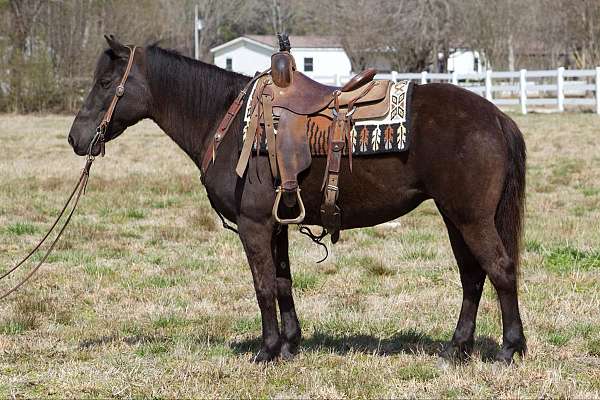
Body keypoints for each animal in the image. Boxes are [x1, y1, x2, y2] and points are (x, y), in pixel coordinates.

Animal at [67, 36, 524, 362]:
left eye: (106, 83)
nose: (76, 138)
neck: (228, 122)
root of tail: (496, 116)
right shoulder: (276, 225)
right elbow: (283, 282)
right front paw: (289, 345)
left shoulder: (253, 225)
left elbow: (263, 284)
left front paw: (267, 349)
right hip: (454, 217)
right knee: (472, 276)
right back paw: (456, 348)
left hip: (471, 218)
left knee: (499, 270)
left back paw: (509, 348)